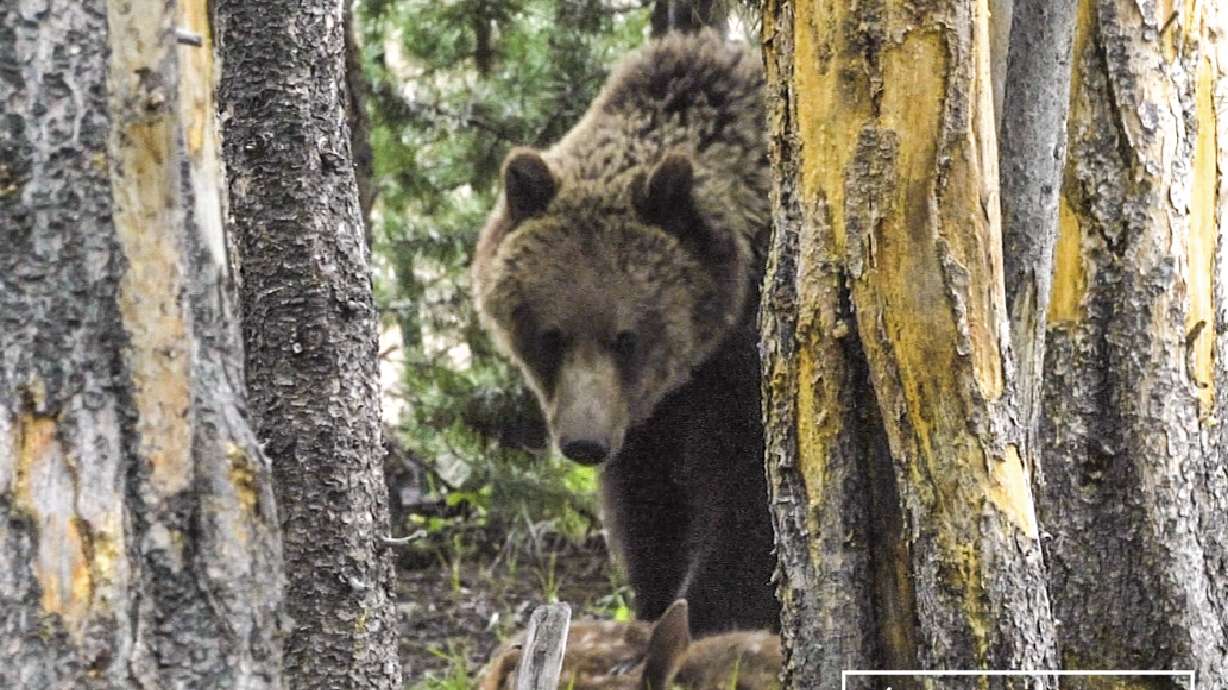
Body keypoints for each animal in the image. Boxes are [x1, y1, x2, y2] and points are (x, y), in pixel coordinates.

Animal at [472, 29, 776, 634]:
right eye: (551, 335)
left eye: (626, 336)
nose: (584, 443)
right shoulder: (648, 419)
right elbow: (648, 511)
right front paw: (655, 599)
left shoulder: (737, 379)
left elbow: (743, 512)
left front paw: (704, 610)